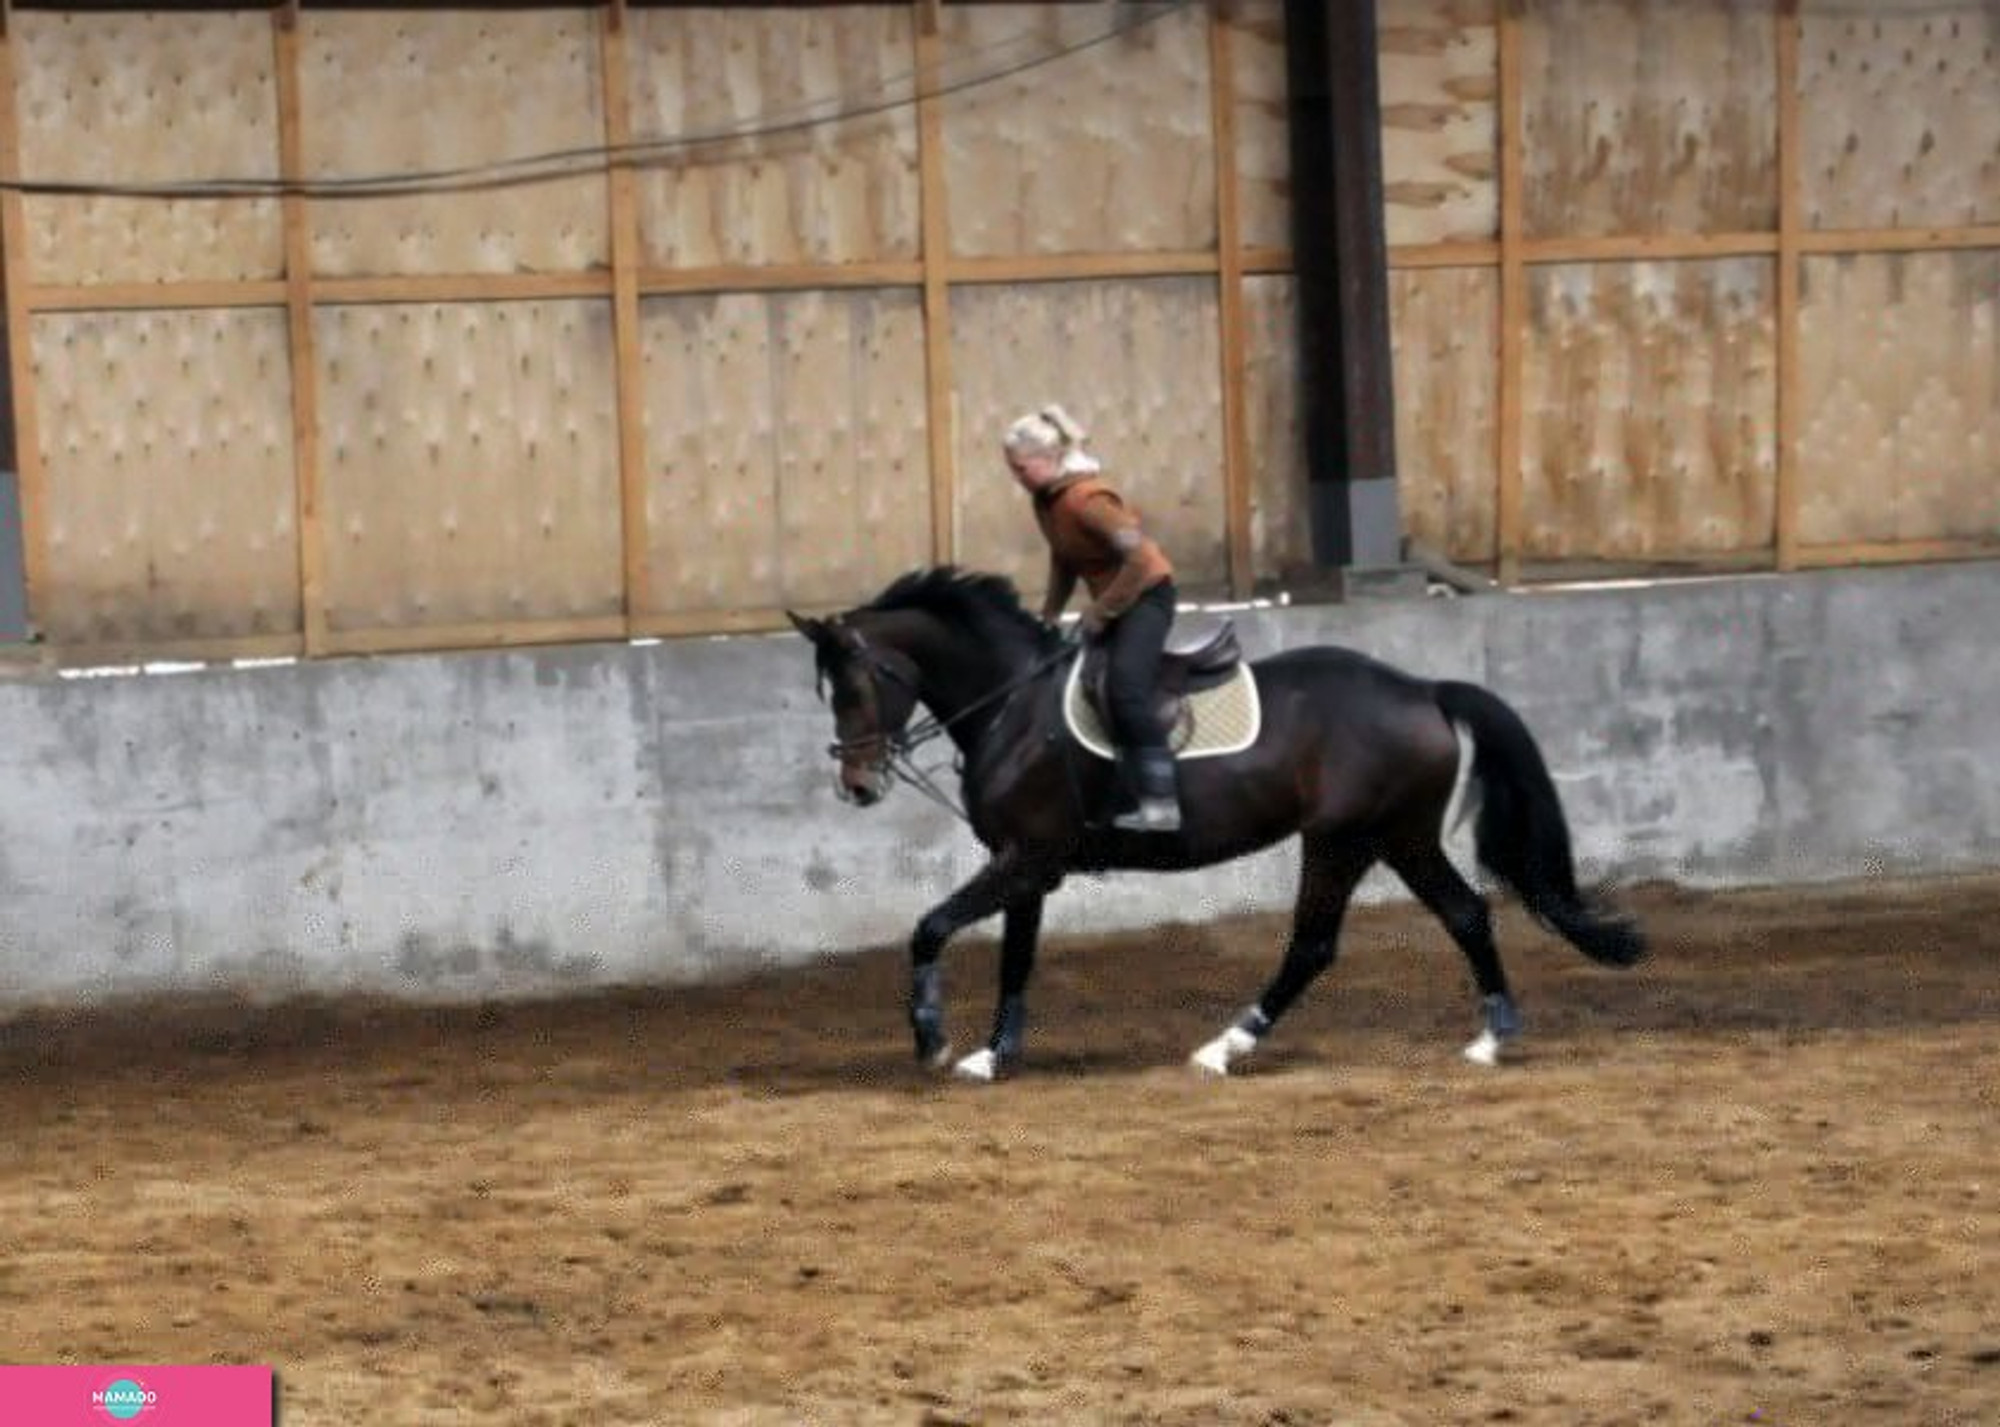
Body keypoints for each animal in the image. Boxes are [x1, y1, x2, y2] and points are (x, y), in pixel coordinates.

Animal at [788, 567, 1648, 1079]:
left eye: (858, 684)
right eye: (827, 689)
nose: (856, 785)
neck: (1013, 704)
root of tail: (1422, 689)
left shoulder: (1026, 857)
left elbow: (931, 927)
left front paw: (931, 1037)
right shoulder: (1025, 864)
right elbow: (1014, 961)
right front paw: (994, 1055)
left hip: (1354, 837)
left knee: (1329, 941)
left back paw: (1235, 1044)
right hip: (1384, 838)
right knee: (1453, 916)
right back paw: (1482, 1035)